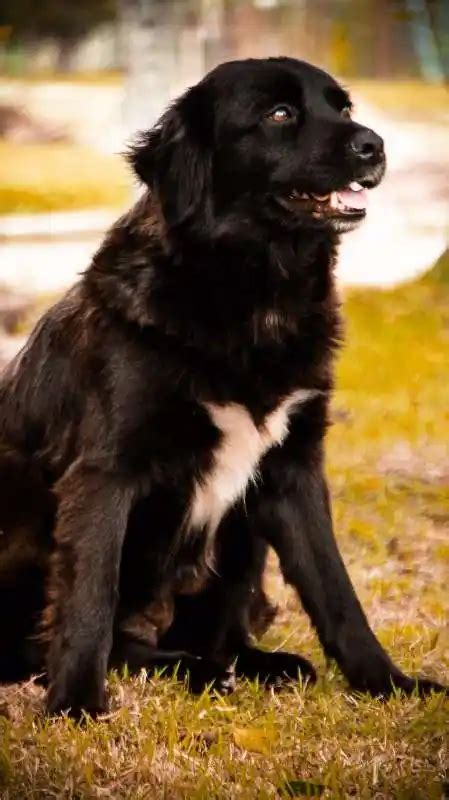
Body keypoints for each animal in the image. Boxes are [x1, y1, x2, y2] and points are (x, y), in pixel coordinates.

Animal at [0, 59, 442, 716]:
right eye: (280, 114)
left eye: (342, 107)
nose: (375, 145)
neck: (253, 297)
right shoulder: (105, 472)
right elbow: (89, 599)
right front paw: (76, 703)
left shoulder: (292, 468)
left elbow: (336, 591)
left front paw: (386, 682)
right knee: (87, 638)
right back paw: (186, 668)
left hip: (242, 537)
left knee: (220, 631)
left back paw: (248, 665)